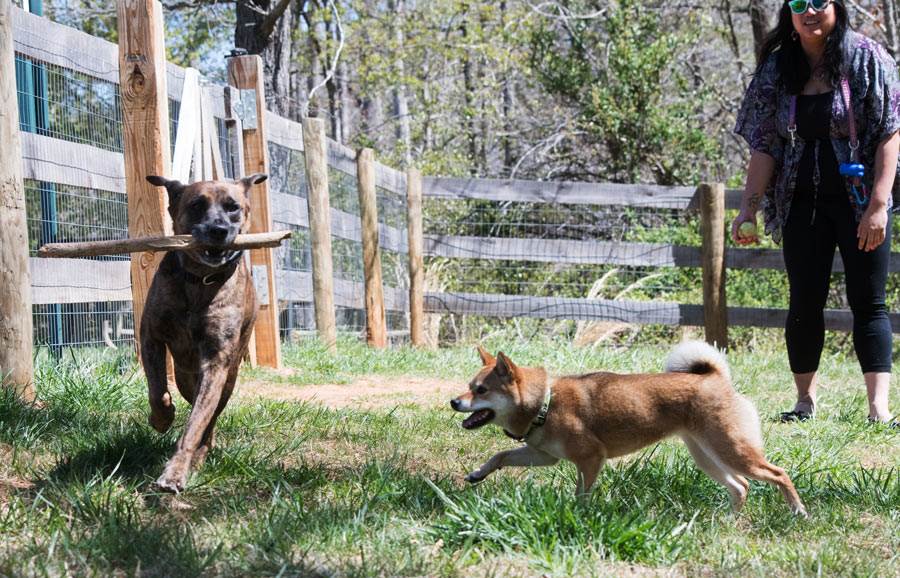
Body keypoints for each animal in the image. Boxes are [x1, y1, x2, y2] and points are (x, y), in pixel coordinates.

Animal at [142, 172, 266, 490]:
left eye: (233, 207)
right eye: (197, 205)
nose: (218, 230)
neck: (199, 281)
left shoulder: (216, 362)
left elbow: (196, 423)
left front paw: (176, 471)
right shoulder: (151, 337)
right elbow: (157, 390)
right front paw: (162, 418)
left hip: (227, 377)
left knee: (209, 420)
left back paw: (199, 455)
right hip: (186, 376)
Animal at [450, 338, 808, 512]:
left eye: (481, 390)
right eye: (469, 386)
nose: (454, 401)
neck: (546, 405)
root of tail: (716, 378)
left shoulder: (591, 459)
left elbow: (581, 494)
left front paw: (578, 516)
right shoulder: (543, 456)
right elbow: (500, 456)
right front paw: (478, 473)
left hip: (732, 450)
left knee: (777, 474)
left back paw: (797, 511)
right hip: (707, 456)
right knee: (741, 486)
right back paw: (726, 523)